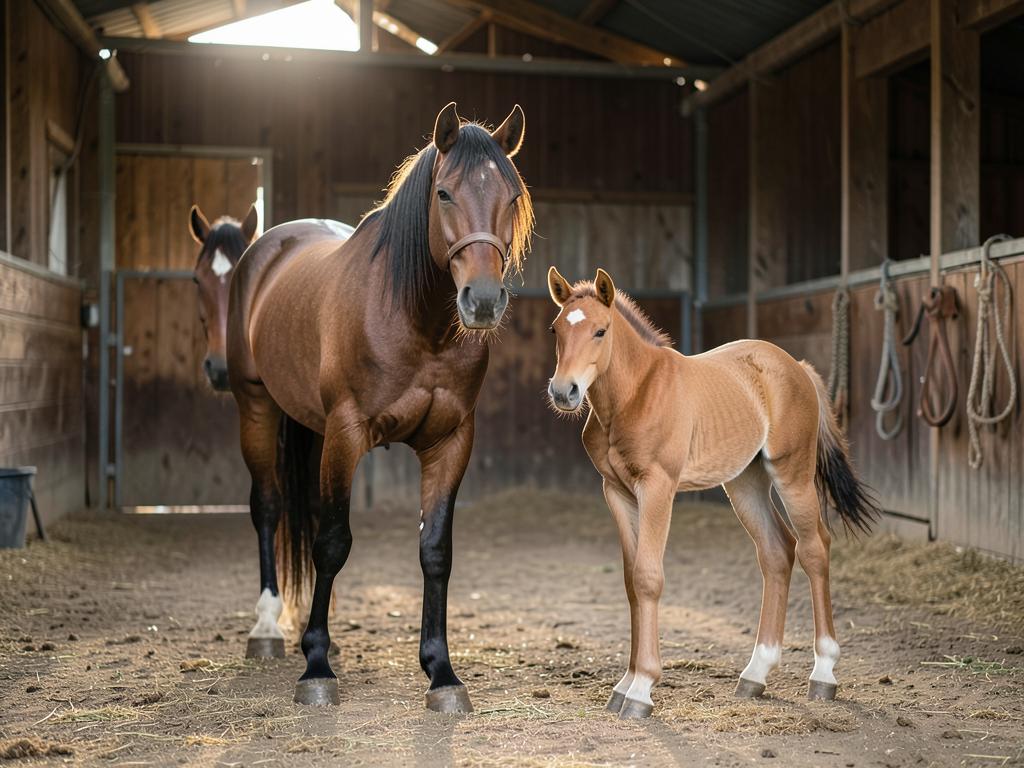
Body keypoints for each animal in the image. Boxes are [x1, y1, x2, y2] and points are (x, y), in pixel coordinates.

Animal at [226, 103, 533, 713]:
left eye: (511, 196)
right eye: (444, 193)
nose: (484, 301)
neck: (418, 320)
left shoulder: (450, 442)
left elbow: (434, 550)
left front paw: (442, 673)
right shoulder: (347, 432)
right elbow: (333, 543)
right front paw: (316, 668)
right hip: (257, 406)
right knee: (269, 508)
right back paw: (270, 629)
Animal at [545, 266, 878, 720]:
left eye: (601, 330)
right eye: (557, 328)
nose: (564, 392)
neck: (636, 393)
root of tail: (797, 367)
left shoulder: (658, 487)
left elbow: (648, 577)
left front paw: (641, 689)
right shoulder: (616, 491)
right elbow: (631, 582)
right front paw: (624, 684)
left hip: (791, 474)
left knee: (815, 548)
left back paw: (823, 672)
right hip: (744, 481)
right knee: (777, 552)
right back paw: (756, 673)